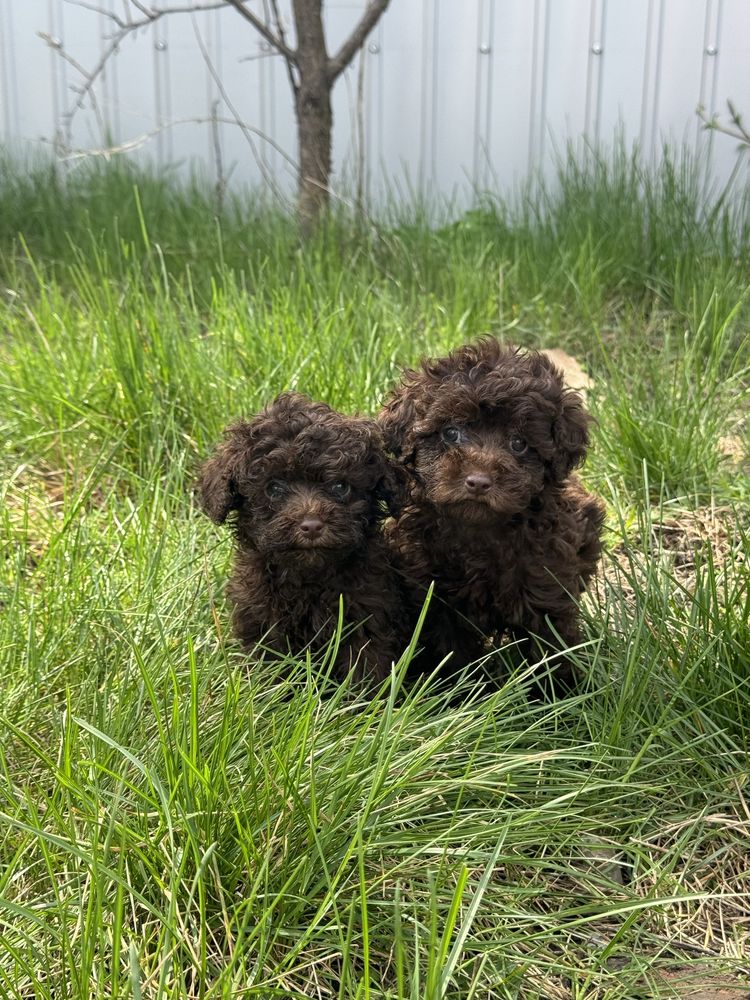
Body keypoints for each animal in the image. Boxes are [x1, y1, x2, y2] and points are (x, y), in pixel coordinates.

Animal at [198, 394, 412, 684]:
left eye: (340, 486)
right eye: (274, 488)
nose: (311, 526)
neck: (308, 579)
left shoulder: (367, 616)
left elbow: (364, 669)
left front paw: (366, 697)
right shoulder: (263, 622)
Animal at [382, 340, 604, 692]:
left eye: (519, 443)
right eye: (451, 433)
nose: (479, 481)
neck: (478, 533)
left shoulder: (546, 584)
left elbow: (550, 647)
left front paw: (560, 697)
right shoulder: (433, 596)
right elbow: (450, 651)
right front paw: (459, 692)